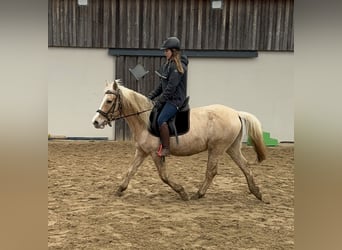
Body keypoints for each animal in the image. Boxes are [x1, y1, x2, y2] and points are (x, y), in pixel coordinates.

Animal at [91, 80, 268, 201]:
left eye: (108, 101)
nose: (96, 122)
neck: (144, 120)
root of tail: (236, 113)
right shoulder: (141, 151)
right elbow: (130, 171)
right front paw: (119, 190)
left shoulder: (155, 153)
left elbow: (163, 176)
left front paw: (182, 192)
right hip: (231, 147)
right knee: (245, 166)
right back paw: (257, 192)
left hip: (217, 148)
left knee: (212, 171)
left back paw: (198, 194)